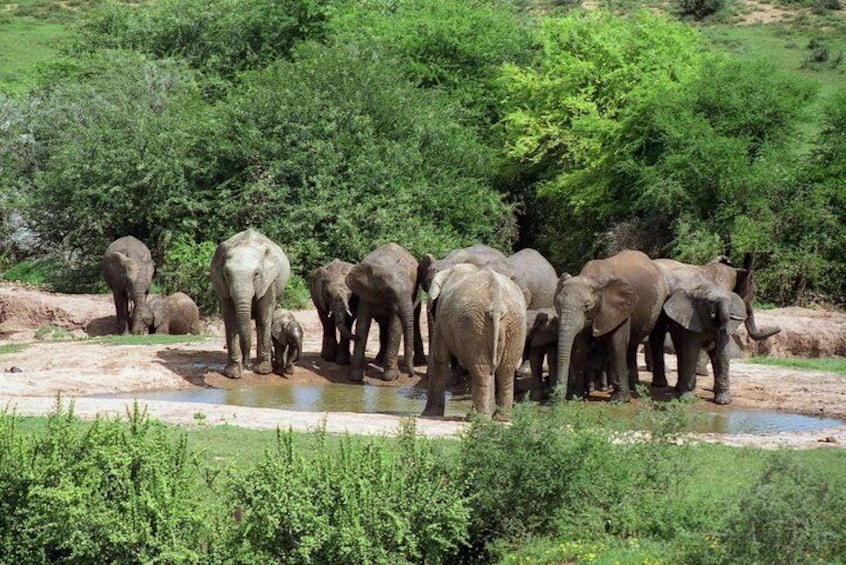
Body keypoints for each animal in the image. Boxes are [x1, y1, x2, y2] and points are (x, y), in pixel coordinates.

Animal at [211, 228, 292, 378]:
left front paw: (263, 372)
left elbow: (264, 316)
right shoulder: (222, 284)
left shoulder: (268, 280)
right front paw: (233, 374)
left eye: (256, 274)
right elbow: (230, 318)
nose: (246, 364)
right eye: (227, 274)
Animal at [346, 240, 428, 382]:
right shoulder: (367, 292)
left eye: (412, 289)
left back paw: (419, 362)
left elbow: (395, 327)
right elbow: (362, 325)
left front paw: (390, 377)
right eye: (388, 291)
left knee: (414, 321)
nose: (410, 375)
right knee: (384, 325)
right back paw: (379, 359)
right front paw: (355, 377)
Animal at [422, 264, 528, 418]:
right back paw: (500, 418)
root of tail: (497, 304)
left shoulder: (441, 317)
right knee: (505, 369)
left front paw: (428, 415)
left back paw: (477, 417)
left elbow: (439, 357)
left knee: (482, 370)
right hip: (513, 324)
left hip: (474, 324)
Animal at [556, 250, 668, 400]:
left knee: (655, 337)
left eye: (587, 306)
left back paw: (654, 385)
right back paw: (634, 387)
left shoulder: (620, 309)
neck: (593, 278)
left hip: (660, 304)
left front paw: (619, 400)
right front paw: (575, 397)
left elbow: (616, 344)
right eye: (558, 304)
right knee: (632, 346)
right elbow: (579, 346)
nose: (556, 399)